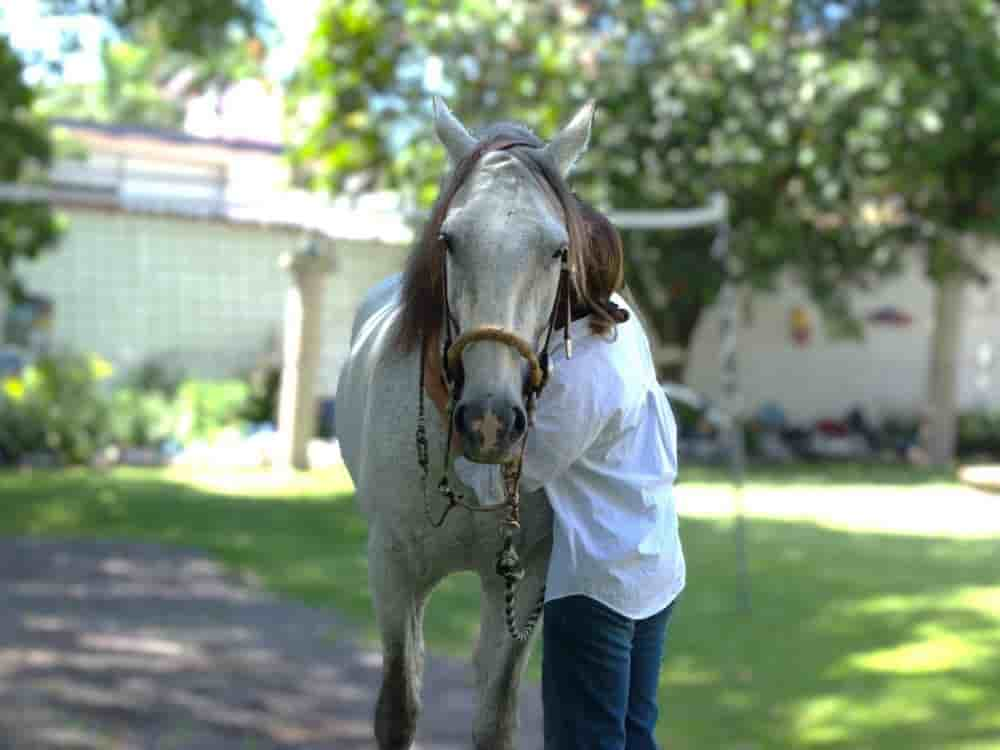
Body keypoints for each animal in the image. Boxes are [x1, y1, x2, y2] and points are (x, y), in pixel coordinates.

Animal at [340, 100, 596, 750]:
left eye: (558, 250)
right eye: (449, 240)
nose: (489, 421)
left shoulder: (527, 577)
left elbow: (495, 715)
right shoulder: (391, 565)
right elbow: (398, 707)